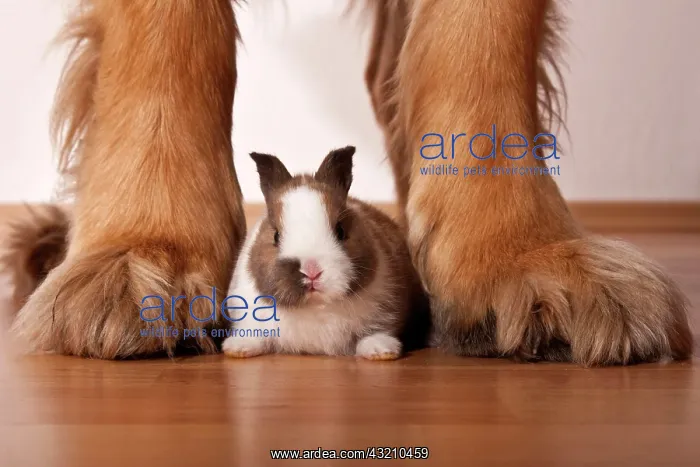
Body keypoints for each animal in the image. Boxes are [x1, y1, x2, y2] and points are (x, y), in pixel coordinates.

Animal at [221, 146, 428, 360]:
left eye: (340, 230)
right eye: (276, 236)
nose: (312, 271)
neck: (315, 306)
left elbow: (376, 333)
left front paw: (381, 351)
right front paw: (237, 348)